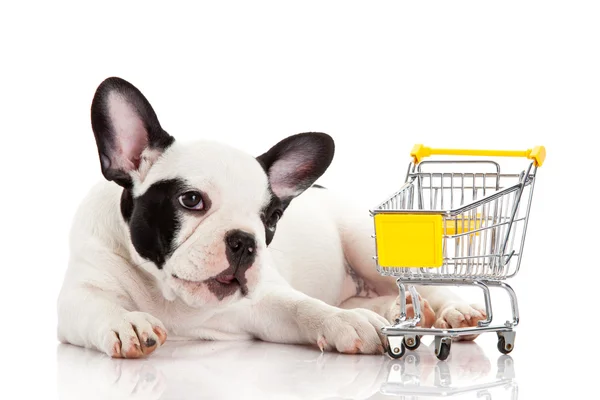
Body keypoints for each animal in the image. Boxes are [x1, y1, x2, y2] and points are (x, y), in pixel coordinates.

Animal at [57, 76, 488, 358]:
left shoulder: (264, 300)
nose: (244, 241)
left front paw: (345, 321)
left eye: (272, 217)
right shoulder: (77, 297)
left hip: (365, 244)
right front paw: (127, 321)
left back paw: (451, 311)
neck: (167, 295)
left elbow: (303, 307)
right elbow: (97, 306)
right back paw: (399, 312)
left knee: (414, 281)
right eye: (191, 200)